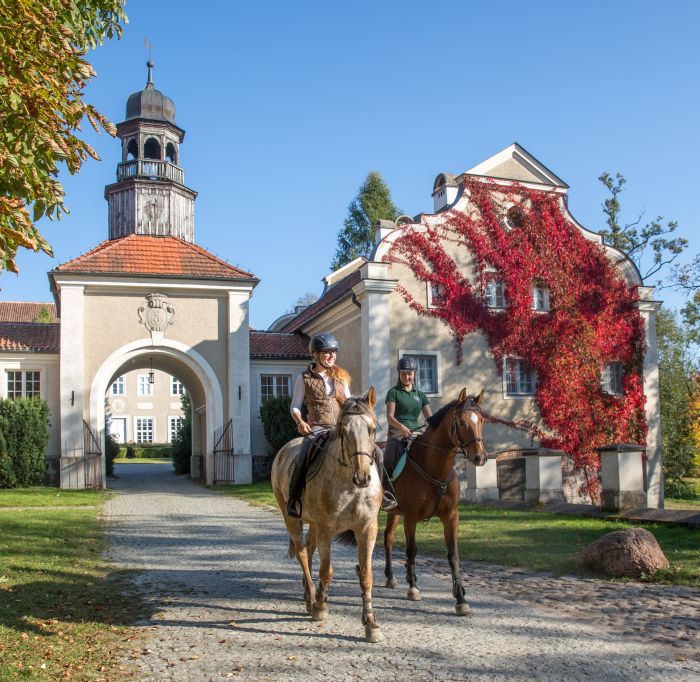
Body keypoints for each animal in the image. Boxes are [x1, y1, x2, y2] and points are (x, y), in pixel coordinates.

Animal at [270, 386, 386, 640]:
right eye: (343, 431)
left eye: (372, 429)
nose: (362, 477)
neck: (350, 486)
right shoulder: (326, 528)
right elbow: (327, 571)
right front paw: (321, 607)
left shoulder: (367, 528)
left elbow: (366, 575)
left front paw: (371, 623)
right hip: (291, 518)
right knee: (303, 553)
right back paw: (312, 597)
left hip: (312, 523)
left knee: (309, 549)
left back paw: (308, 594)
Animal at [382, 386, 486, 612]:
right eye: (461, 422)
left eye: (482, 420)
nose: (480, 458)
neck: (434, 467)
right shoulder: (411, 516)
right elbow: (412, 550)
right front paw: (413, 588)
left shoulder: (451, 516)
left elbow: (453, 555)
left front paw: (460, 598)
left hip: (394, 512)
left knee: (388, 538)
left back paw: (391, 577)